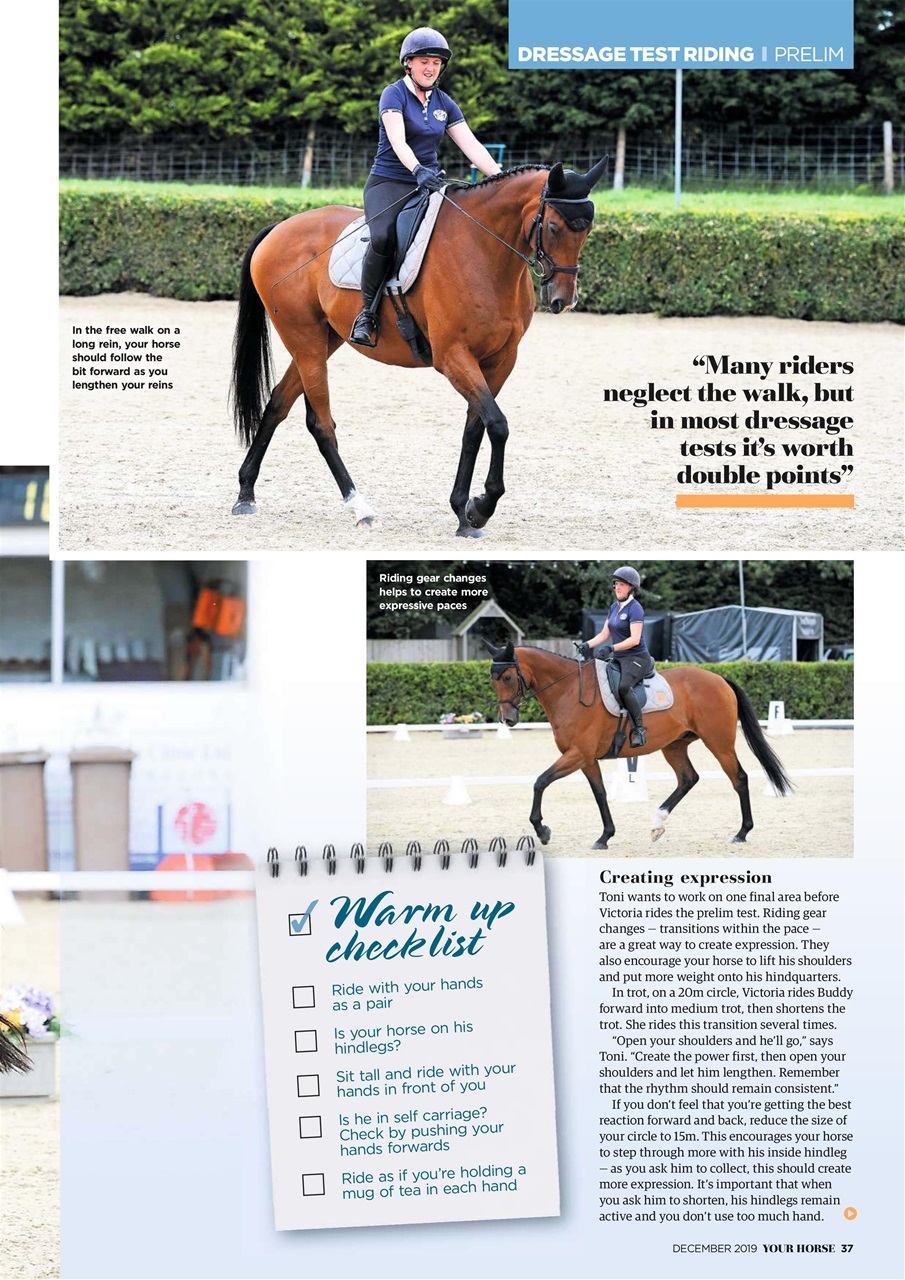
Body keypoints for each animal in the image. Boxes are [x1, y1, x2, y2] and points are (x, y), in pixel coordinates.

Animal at [229, 158, 608, 538]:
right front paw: (482, 507)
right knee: (320, 424)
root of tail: (280, 227)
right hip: (305, 341)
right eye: (555, 227)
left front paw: (464, 513)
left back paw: (245, 493)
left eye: (587, 230)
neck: (483, 250)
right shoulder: (453, 357)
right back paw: (360, 508)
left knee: (277, 403)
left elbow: (476, 428)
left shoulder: (500, 360)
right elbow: (498, 424)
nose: (563, 299)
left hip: (322, 341)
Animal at [483, 641, 791, 850]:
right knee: (688, 779)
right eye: (493, 679)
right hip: (674, 746)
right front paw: (605, 836)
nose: (508, 719)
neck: (569, 691)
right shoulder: (586, 759)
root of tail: (719, 679)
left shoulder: (577, 754)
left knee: (739, 778)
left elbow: (540, 782)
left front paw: (543, 831)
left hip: (719, 743)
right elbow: (600, 794)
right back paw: (657, 824)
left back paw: (741, 833)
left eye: (508, 677)